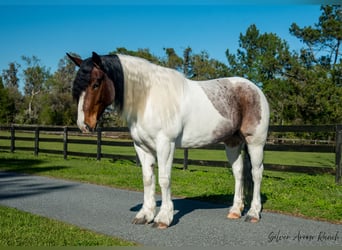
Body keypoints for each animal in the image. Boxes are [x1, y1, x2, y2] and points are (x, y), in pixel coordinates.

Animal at [67, 51, 270, 229]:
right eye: (77, 88)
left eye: (96, 83)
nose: (84, 124)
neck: (147, 99)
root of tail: (255, 89)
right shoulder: (142, 147)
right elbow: (147, 179)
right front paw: (144, 215)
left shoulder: (165, 144)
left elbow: (164, 179)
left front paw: (163, 218)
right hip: (232, 143)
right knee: (238, 172)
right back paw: (235, 210)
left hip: (255, 142)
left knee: (256, 173)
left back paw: (253, 213)